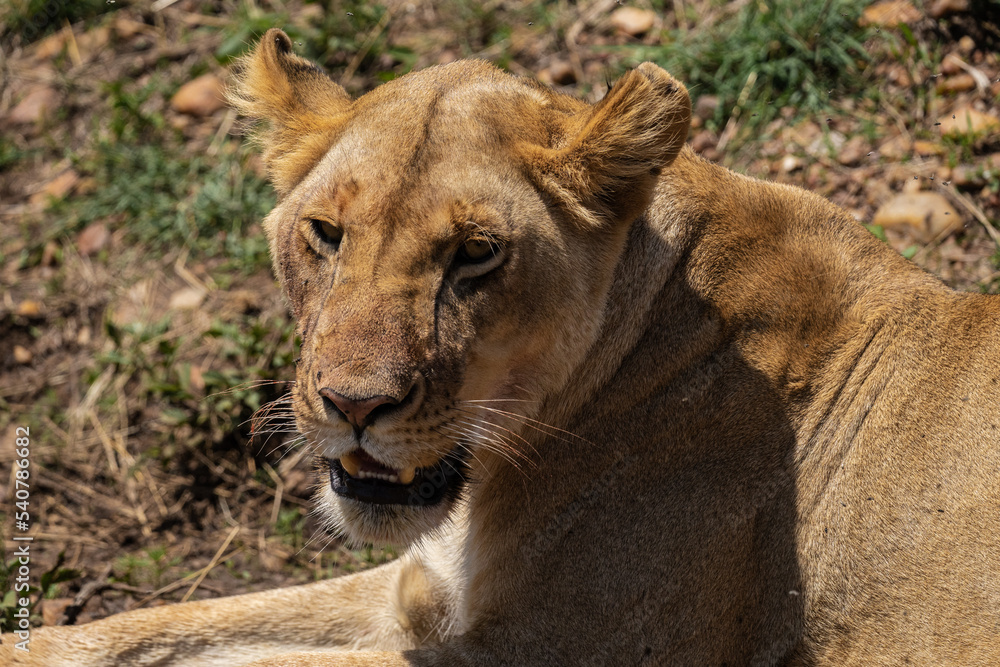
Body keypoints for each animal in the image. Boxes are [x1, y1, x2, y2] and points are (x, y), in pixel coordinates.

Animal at [4, 28, 999, 666]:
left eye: (475, 253)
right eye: (326, 233)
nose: (353, 406)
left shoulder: (556, 649)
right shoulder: (419, 586)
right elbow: (160, 627)